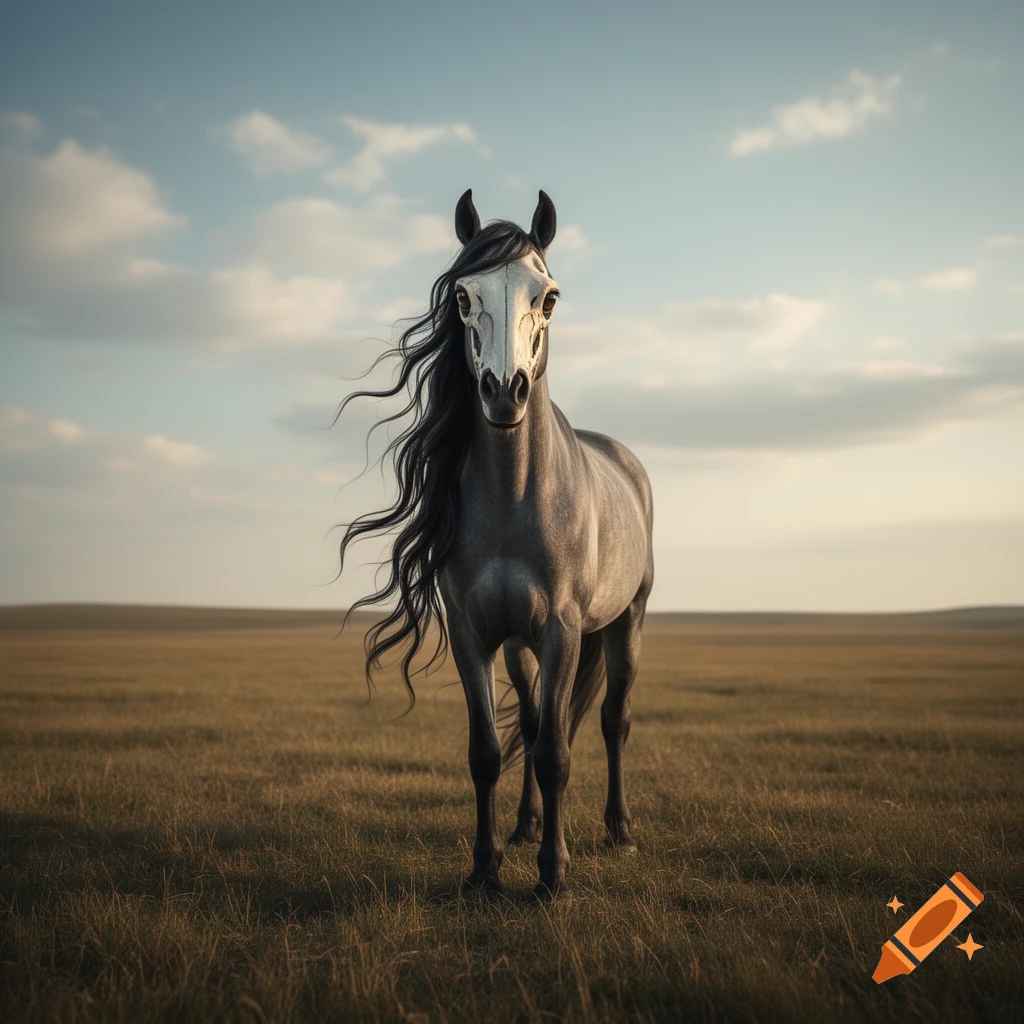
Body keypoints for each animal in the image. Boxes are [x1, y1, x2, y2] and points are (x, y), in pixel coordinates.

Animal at [337, 189, 654, 899]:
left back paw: (620, 830)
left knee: (612, 719)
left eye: (549, 296)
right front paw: (486, 869)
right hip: (518, 645)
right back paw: (526, 827)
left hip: (626, 620)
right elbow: (489, 752)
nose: (504, 392)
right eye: (462, 295)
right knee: (534, 721)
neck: (516, 496)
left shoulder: (564, 629)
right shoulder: (473, 632)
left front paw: (553, 879)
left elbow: (557, 753)